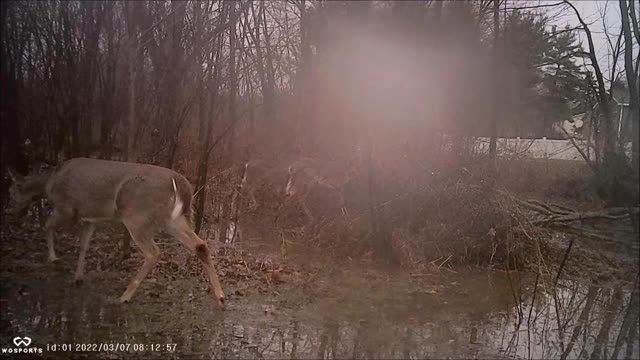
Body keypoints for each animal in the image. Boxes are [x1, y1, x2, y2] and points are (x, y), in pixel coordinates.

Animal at [6, 158, 225, 310]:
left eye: (13, 189)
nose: (10, 211)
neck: (48, 184)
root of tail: (181, 184)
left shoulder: (66, 208)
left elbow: (47, 226)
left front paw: (53, 258)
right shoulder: (90, 219)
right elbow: (83, 245)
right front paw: (77, 277)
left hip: (137, 217)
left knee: (153, 252)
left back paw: (124, 297)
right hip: (174, 219)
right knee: (200, 244)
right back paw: (220, 297)